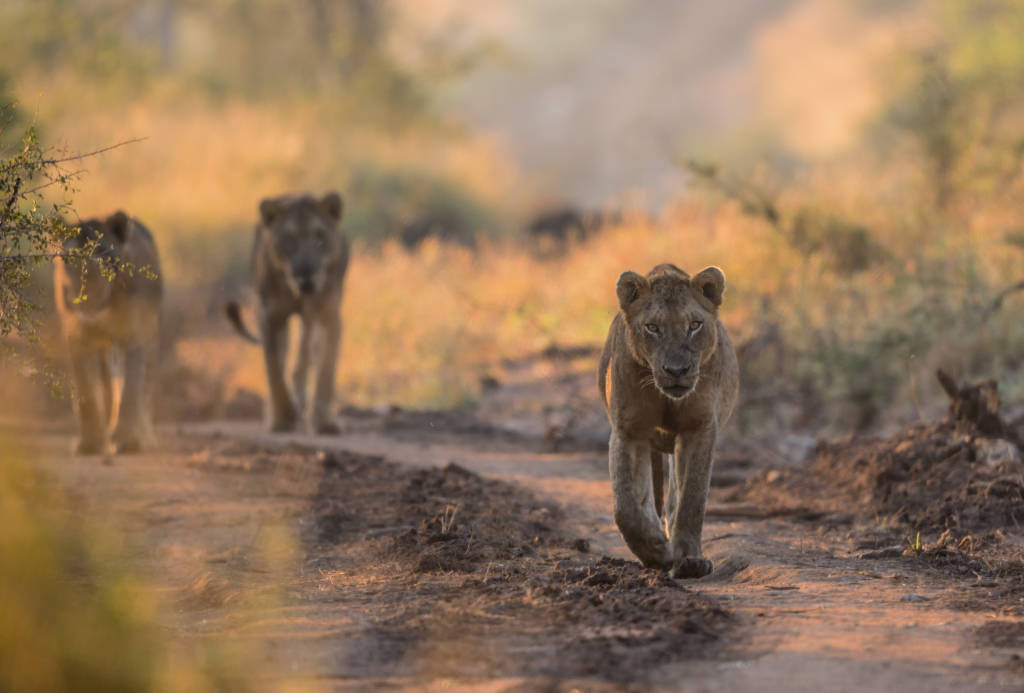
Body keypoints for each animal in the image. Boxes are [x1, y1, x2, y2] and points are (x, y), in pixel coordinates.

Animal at [52, 213, 161, 456]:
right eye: (69, 259)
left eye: (105, 258)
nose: (86, 300)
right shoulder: (78, 338)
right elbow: (86, 391)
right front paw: (91, 443)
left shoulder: (132, 336)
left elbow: (131, 389)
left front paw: (128, 441)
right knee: (108, 381)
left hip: (147, 334)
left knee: (145, 384)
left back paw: (145, 436)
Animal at [226, 191, 350, 431]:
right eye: (289, 241)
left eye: (319, 239)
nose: (307, 278)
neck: (298, 294)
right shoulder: (269, 316)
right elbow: (274, 370)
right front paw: (283, 417)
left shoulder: (330, 315)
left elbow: (326, 370)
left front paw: (324, 422)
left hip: (310, 321)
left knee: (304, 356)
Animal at [598, 262, 741, 577]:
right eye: (652, 327)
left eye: (694, 325)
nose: (677, 370)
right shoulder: (628, 431)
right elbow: (625, 506)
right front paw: (657, 552)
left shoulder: (699, 428)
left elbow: (691, 499)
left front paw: (689, 560)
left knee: (675, 494)